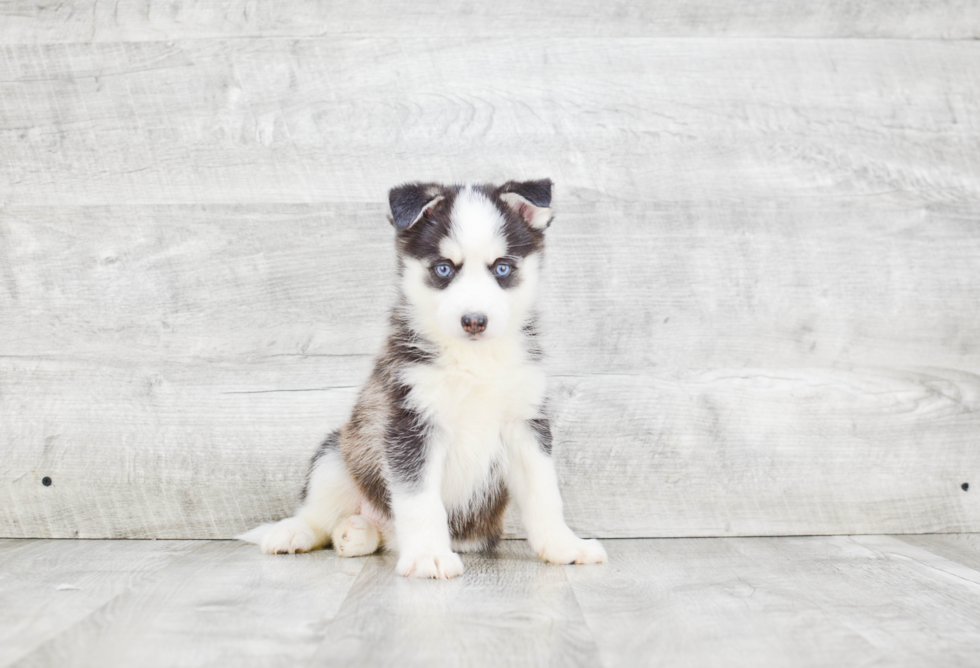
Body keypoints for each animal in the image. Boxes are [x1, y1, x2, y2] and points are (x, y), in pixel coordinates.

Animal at [237, 180, 604, 576]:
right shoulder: (410, 426)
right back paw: (294, 532)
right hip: (335, 455)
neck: (474, 362)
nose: (474, 321)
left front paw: (564, 545)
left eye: (502, 268)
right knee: (319, 514)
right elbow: (420, 501)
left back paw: (355, 532)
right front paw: (429, 555)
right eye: (444, 269)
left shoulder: (526, 425)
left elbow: (544, 494)